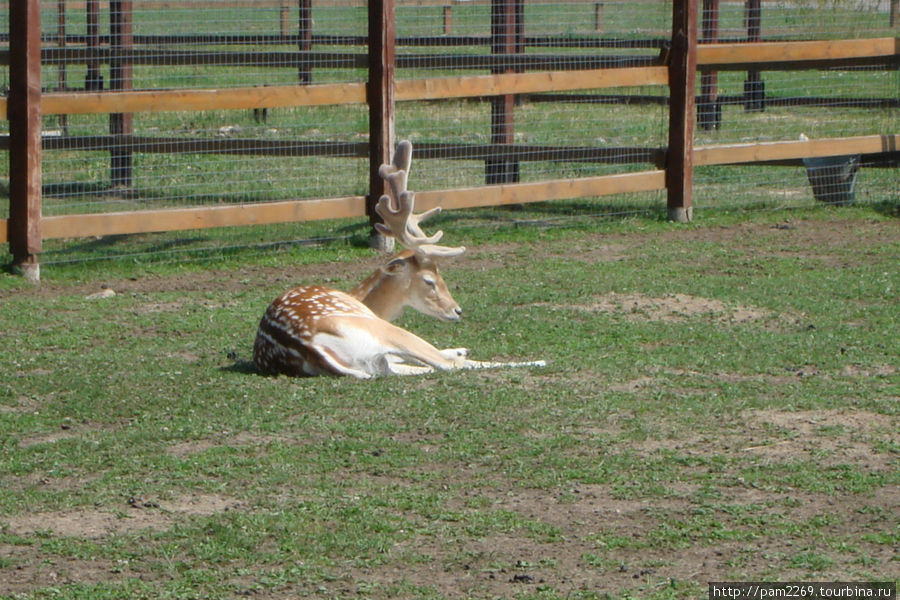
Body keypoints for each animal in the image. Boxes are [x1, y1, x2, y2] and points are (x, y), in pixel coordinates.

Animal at [255, 139, 548, 380]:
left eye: (442, 275)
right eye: (429, 280)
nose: (457, 310)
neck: (364, 300)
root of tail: (309, 347)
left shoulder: (384, 361)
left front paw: (459, 349)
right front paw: (463, 351)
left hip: (374, 363)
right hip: (382, 330)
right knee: (445, 365)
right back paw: (536, 361)